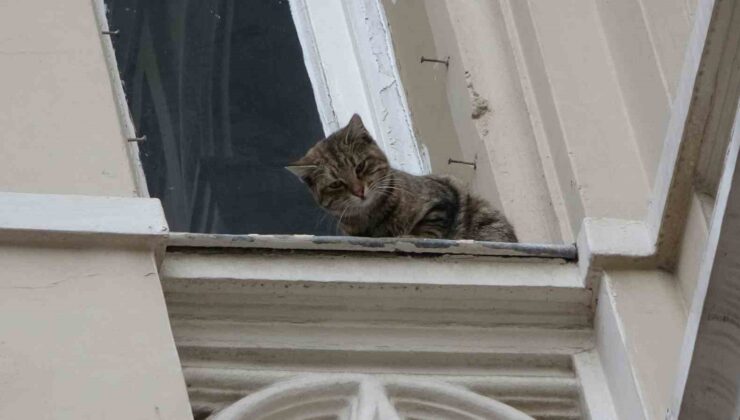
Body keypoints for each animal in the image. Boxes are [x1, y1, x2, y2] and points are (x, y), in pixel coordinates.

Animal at [286, 113, 516, 241]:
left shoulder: (441, 198)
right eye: (336, 184)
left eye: (360, 167)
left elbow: (428, 227)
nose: (359, 191)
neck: (374, 217)